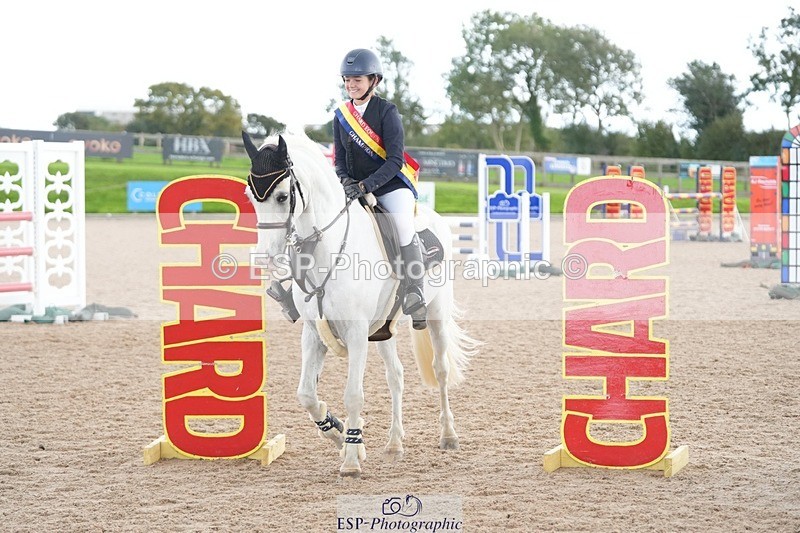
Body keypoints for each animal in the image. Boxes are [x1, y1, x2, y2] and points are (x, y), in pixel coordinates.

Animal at [242, 131, 479, 476]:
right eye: (250, 196)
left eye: (283, 197)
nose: (265, 257)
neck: (327, 248)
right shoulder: (314, 333)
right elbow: (306, 394)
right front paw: (339, 434)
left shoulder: (356, 334)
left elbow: (353, 395)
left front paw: (352, 457)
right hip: (383, 329)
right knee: (396, 376)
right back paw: (394, 444)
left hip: (435, 314)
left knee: (441, 370)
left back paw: (448, 435)